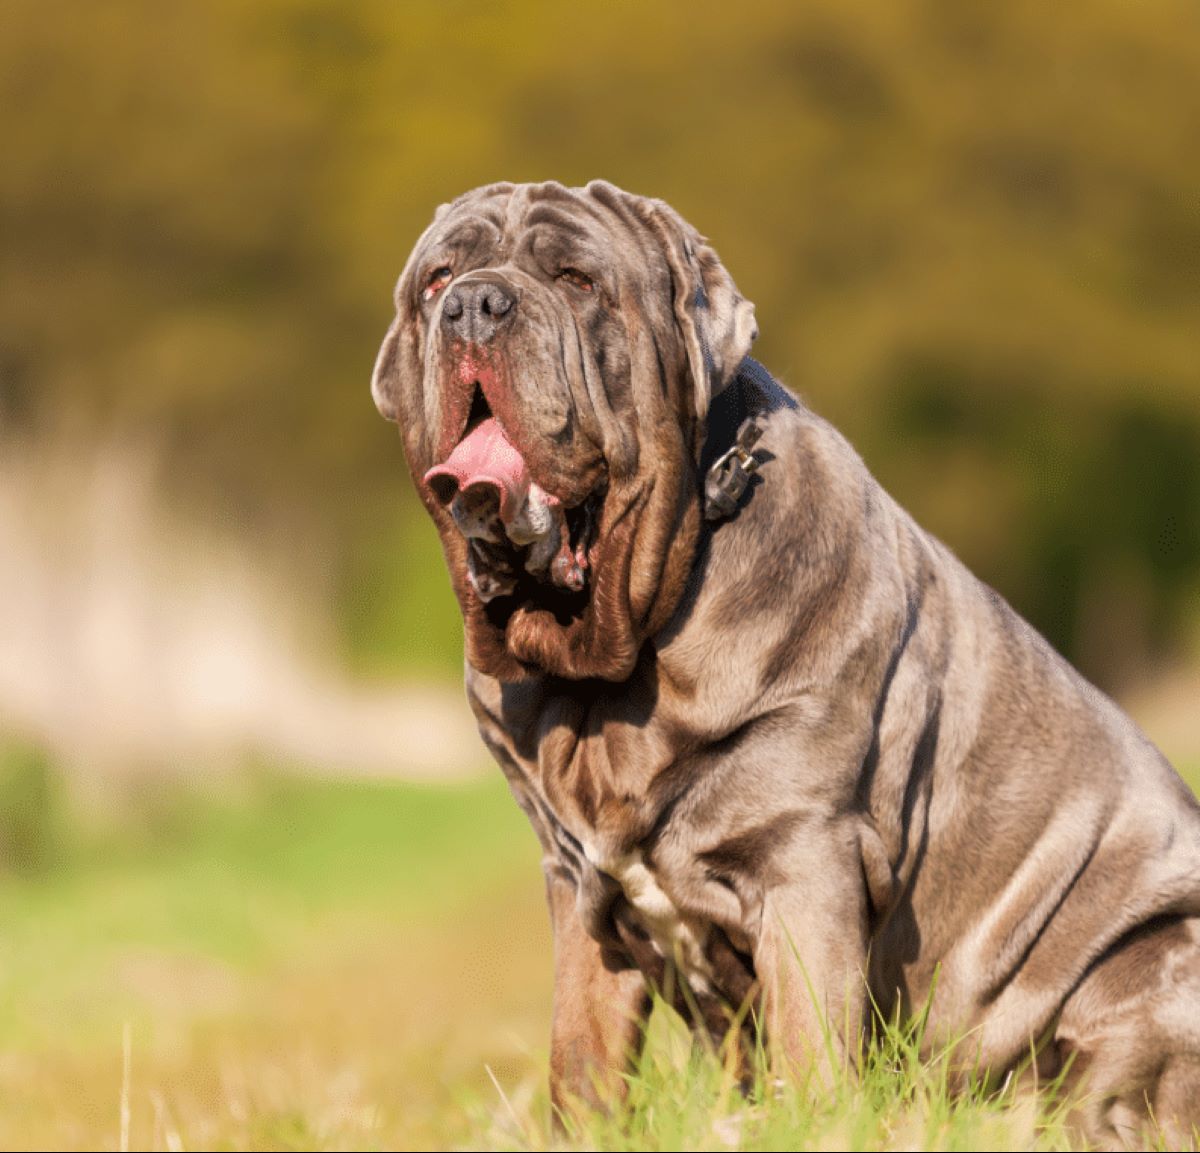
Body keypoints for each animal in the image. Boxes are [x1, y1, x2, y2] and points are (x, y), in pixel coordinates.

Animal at [369, 182, 1195, 1151]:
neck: (610, 666)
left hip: (1151, 958)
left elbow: (810, 1042)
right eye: (436, 280)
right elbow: (582, 1060)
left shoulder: (806, 861)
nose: (475, 305)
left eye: (576, 280)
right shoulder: (578, 889)